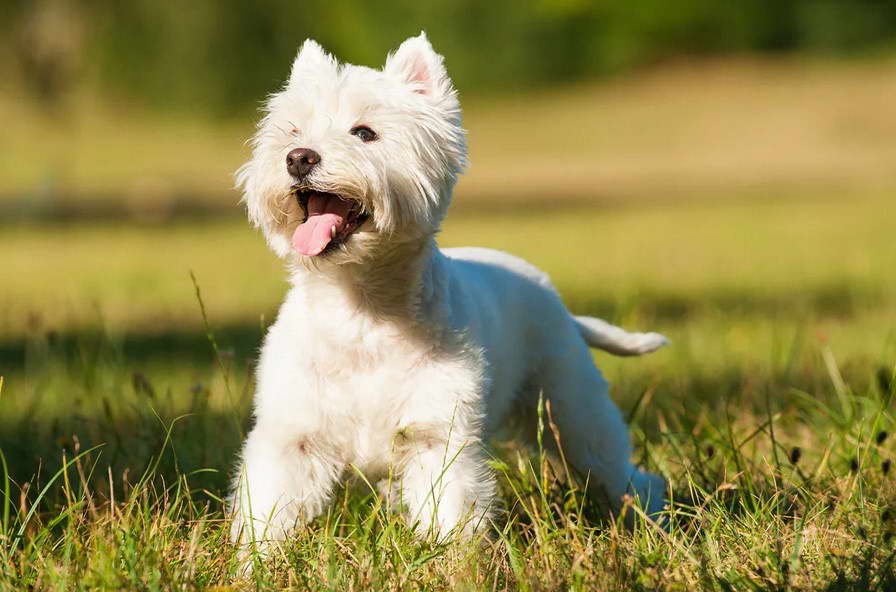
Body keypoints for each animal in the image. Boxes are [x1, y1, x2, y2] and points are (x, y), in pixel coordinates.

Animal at [231, 33, 664, 556]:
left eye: (364, 133)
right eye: (292, 128)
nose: (298, 157)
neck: (361, 311)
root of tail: (553, 297)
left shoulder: (439, 437)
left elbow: (450, 515)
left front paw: (451, 561)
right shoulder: (292, 439)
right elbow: (267, 514)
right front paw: (255, 564)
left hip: (571, 409)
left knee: (621, 472)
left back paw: (651, 520)